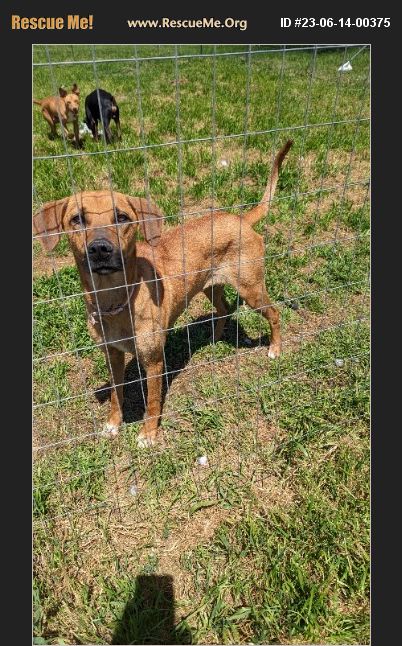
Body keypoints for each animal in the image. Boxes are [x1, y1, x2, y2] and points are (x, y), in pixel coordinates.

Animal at [33, 140, 292, 448]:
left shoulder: (154, 361)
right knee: (224, 310)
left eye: (122, 217)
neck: (116, 299)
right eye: (77, 219)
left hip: (251, 289)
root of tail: (240, 219)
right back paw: (214, 339)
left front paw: (148, 434)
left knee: (274, 313)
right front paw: (113, 423)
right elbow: (116, 395)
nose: (100, 249)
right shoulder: (112, 355)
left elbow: (153, 401)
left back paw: (275, 349)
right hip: (210, 287)